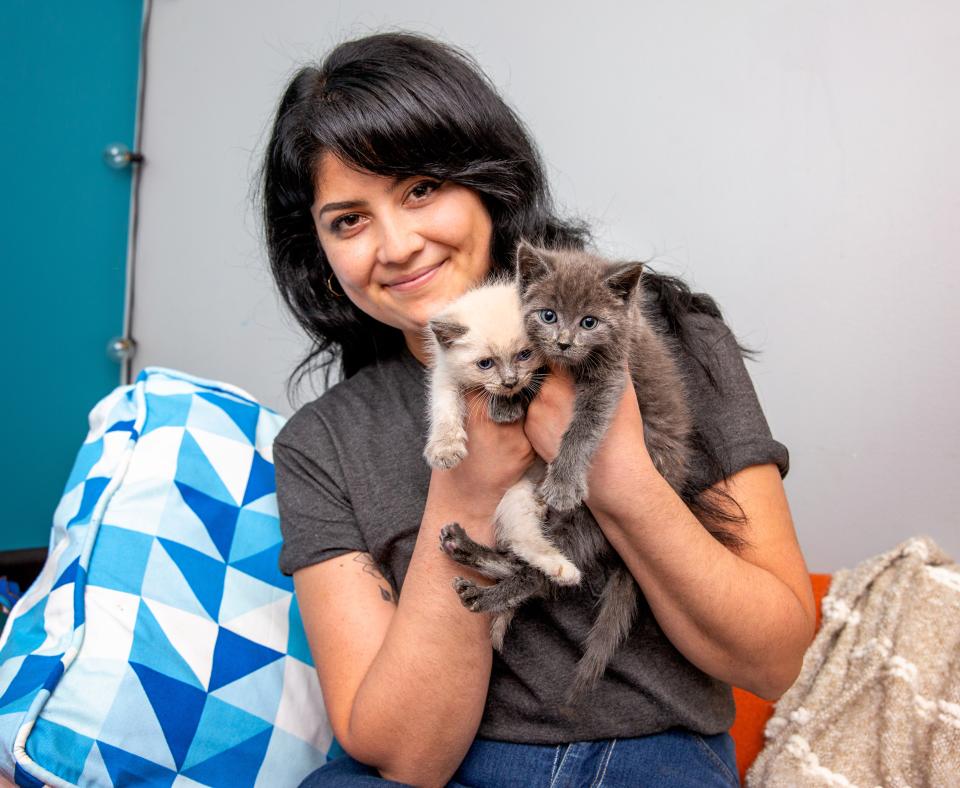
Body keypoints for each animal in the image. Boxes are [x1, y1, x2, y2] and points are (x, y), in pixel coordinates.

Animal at [438, 243, 692, 700]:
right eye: (548, 315)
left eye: (589, 322)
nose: (563, 342)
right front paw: (506, 404)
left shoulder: (612, 375)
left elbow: (583, 425)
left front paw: (562, 481)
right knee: (523, 556)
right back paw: (466, 552)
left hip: (589, 522)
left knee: (542, 575)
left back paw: (488, 596)